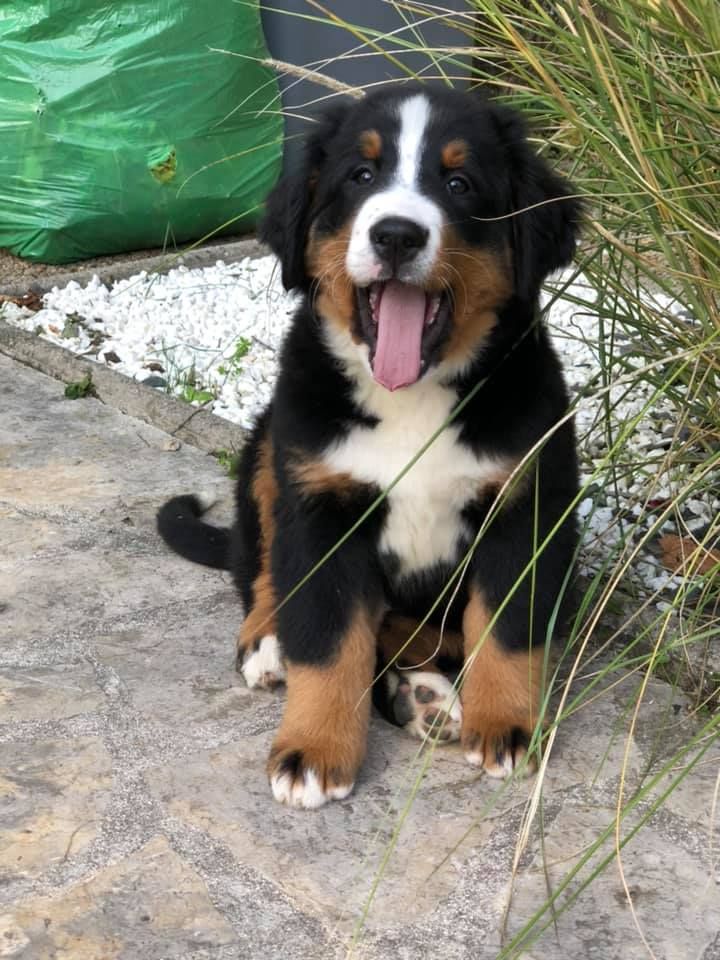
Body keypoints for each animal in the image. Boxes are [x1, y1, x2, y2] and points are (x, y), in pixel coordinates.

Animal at [157, 83, 581, 809]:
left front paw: (505, 726)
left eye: (460, 183)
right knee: (264, 571)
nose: (397, 234)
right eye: (360, 176)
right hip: (270, 451)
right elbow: (329, 643)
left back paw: (425, 696)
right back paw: (274, 644)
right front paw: (313, 751)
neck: (411, 398)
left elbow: (506, 628)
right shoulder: (322, 506)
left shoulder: (525, 505)